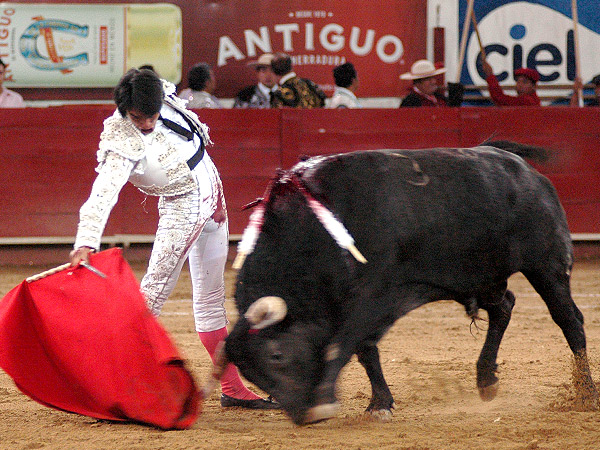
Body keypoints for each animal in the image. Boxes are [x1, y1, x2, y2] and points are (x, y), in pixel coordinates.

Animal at [218, 145, 596, 426]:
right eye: (252, 376)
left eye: (276, 355)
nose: (304, 416)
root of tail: (530, 174)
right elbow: (365, 349)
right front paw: (379, 403)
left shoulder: (372, 293)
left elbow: (345, 344)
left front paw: (347, 400)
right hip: (481, 276)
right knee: (504, 306)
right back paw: (486, 380)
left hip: (547, 265)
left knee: (569, 320)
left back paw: (586, 394)